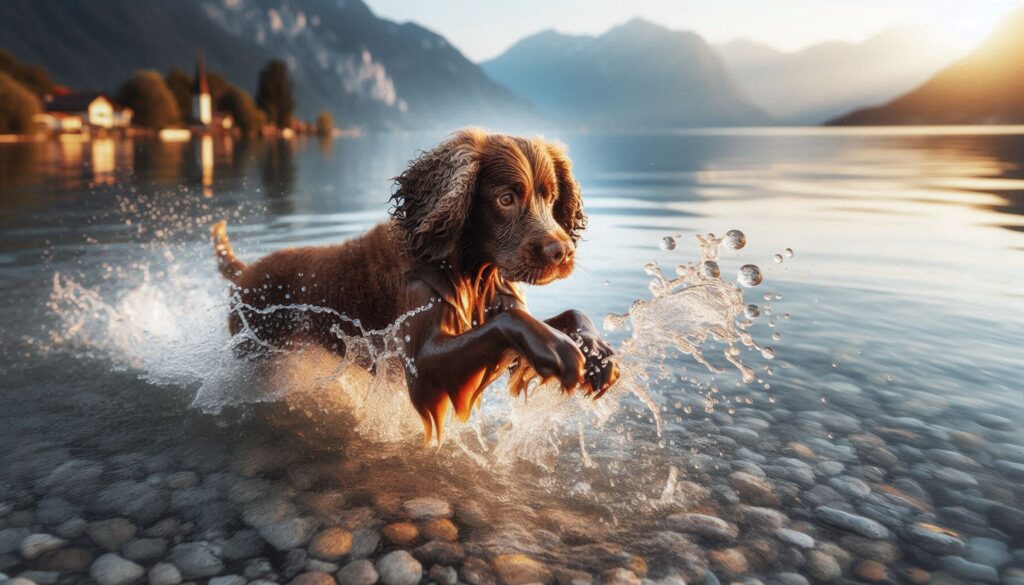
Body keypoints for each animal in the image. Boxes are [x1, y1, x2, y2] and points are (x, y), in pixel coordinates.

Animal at [209, 127, 614, 438]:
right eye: (505, 198)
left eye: (551, 196)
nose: (561, 252)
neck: (464, 269)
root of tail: (244, 271)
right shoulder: (422, 362)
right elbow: (510, 322)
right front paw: (556, 349)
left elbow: (566, 314)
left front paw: (597, 352)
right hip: (259, 357)